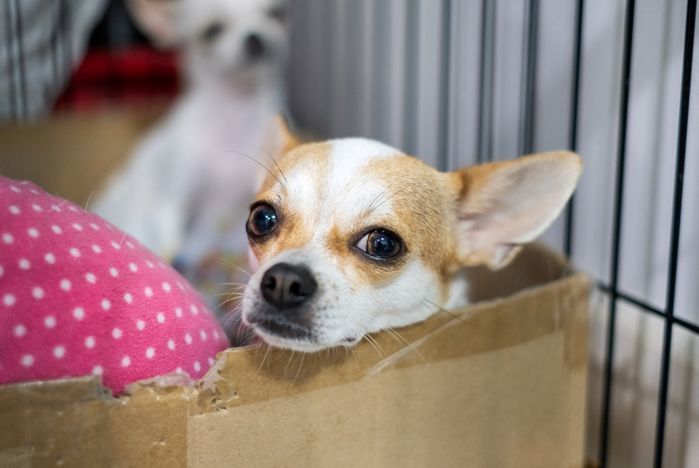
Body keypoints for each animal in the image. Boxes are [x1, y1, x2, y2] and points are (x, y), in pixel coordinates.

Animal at [93, 0, 290, 270]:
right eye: (212, 31)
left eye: (276, 13)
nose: (254, 37)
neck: (238, 110)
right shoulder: (174, 202)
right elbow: (172, 235)